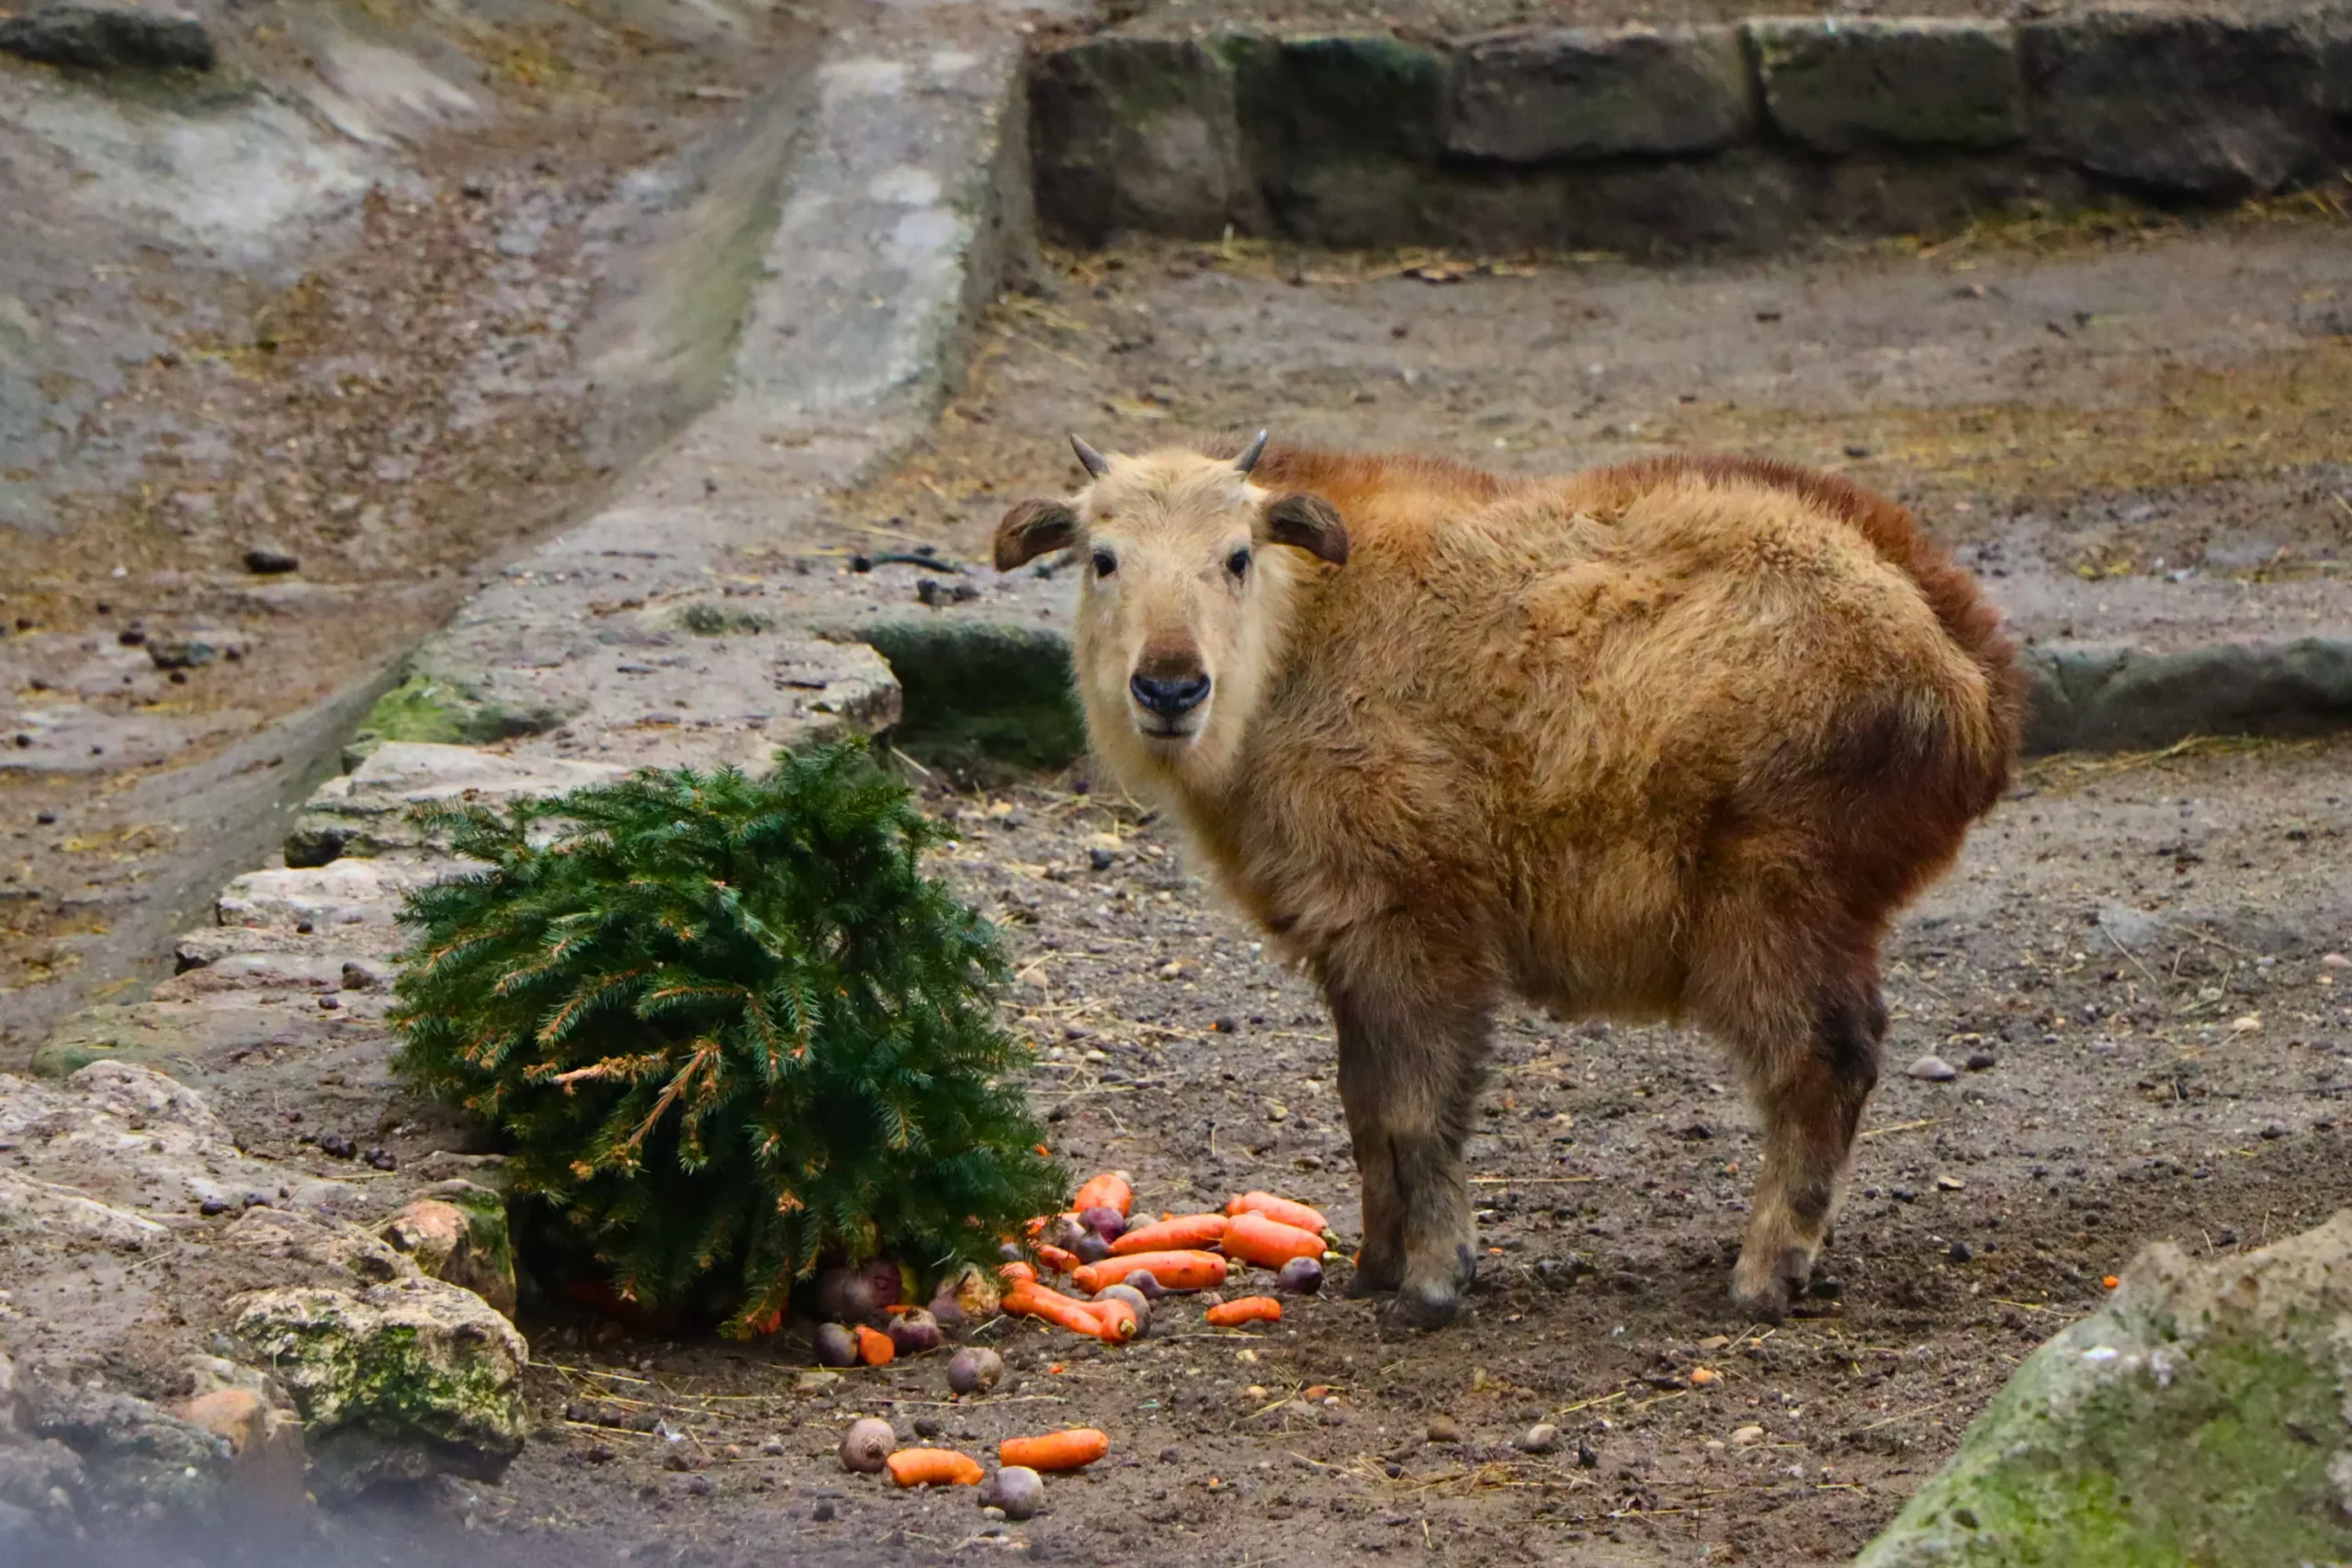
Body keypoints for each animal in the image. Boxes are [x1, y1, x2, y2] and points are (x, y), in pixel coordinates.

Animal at [995, 432, 2024, 1326]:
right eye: (1102, 558)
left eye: (1237, 555)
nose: (1170, 687)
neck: (1304, 634)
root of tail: (1972, 675)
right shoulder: (1349, 947)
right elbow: (1364, 1109)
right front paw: (1375, 1266)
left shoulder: (1420, 932)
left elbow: (1418, 1115)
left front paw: (1432, 1284)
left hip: (1771, 910)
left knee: (1825, 1063)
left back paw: (1764, 1275)